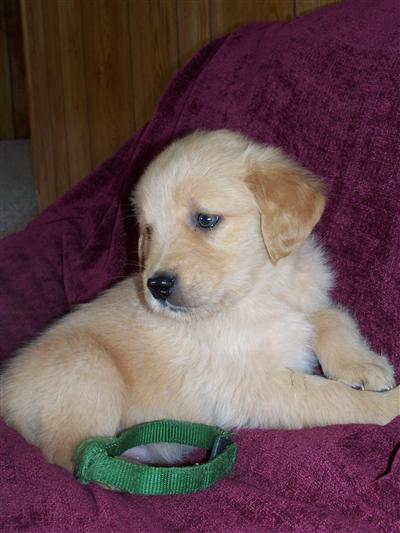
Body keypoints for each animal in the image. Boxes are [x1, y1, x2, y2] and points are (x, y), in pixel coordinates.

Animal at [1, 130, 398, 470]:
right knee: (75, 453)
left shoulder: (306, 303)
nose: (156, 286)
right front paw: (388, 404)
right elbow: (335, 398)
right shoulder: (254, 387)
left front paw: (363, 365)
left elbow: (331, 318)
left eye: (205, 219)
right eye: (149, 230)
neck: (258, 291)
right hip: (87, 365)